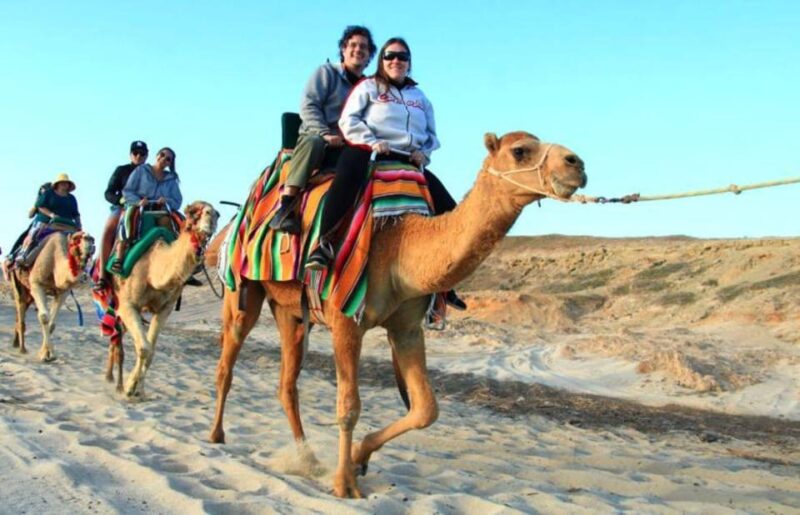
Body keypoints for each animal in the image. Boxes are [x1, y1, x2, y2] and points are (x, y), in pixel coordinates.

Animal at [10, 230, 95, 362]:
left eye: (92, 239)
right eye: (76, 239)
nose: (90, 240)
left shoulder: (63, 292)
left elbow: (52, 324)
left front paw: (46, 352)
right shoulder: (37, 284)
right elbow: (44, 317)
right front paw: (46, 354)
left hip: (29, 293)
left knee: (22, 310)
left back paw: (16, 343)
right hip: (17, 282)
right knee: (20, 306)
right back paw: (22, 349)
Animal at [105, 201, 219, 397]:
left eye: (217, 213)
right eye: (192, 212)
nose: (213, 215)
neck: (152, 269)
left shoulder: (165, 308)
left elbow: (150, 350)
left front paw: (138, 389)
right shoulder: (127, 304)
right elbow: (144, 347)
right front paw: (129, 388)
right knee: (116, 335)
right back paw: (112, 379)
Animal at [208, 131, 587, 498]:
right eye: (520, 150)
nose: (577, 164)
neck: (400, 241)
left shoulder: (406, 328)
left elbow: (426, 408)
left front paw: (359, 457)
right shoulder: (345, 319)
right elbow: (348, 406)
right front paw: (344, 484)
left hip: (291, 312)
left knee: (287, 384)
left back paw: (307, 458)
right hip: (241, 290)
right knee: (228, 361)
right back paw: (217, 435)